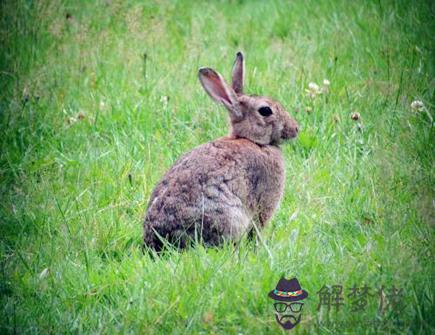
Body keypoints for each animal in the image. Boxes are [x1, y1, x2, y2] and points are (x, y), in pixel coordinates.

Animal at [145, 52, 298, 251]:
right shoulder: (264, 203)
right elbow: (257, 229)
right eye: (265, 110)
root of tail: (158, 241)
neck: (253, 141)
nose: (295, 129)